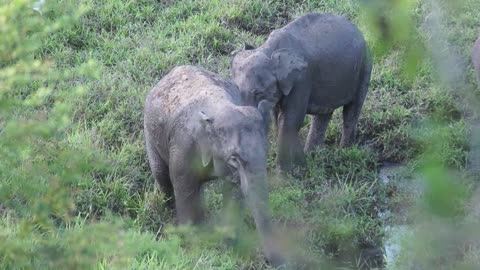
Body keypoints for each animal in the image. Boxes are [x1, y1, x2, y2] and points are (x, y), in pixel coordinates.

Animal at [142, 65, 284, 266]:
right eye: (234, 158)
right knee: (162, 176)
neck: (221, 107)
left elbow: (233, 192)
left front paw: (228, 244)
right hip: (150, 131)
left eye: (266, 152)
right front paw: (192, 244)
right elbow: (185, 189)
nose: (277, 263)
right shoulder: (183, 147)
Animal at [231, 12, 374, 172]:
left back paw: (345, 152)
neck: (269, 48)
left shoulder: (301, 80)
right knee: (324, 115)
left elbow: (290, 120)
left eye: (258, 93)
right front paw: (301, 164)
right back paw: (313, 155)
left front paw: (283, 172)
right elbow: (278, 118)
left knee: (351, 110)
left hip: (364, 67)